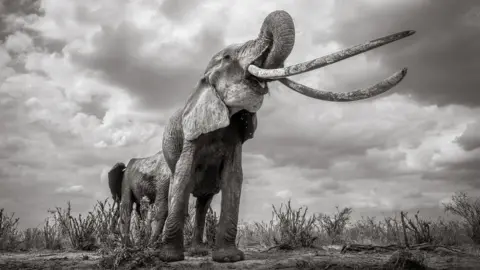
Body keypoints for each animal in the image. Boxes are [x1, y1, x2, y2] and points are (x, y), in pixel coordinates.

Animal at [136, 9, 416, 262]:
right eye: (227, 57)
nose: (410, 33)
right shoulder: (190, 134)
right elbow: (183, 177)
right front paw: (169, 258)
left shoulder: (235, 136)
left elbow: (233, 178)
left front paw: (228, 258)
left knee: (204, 202)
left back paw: (198, 252)